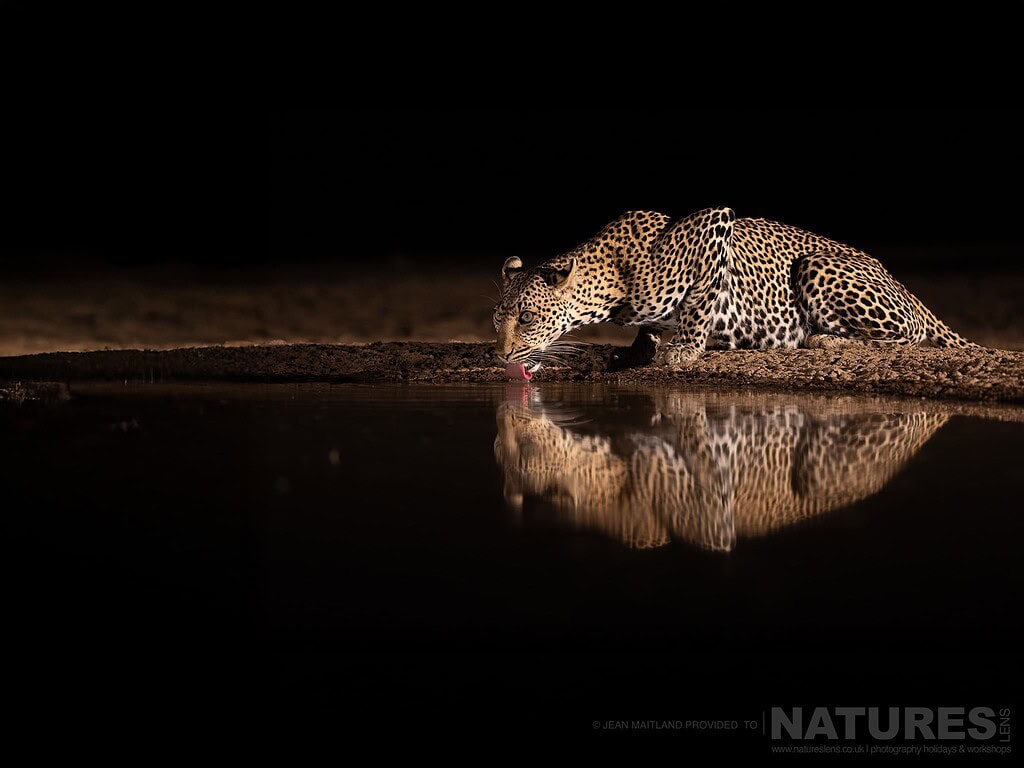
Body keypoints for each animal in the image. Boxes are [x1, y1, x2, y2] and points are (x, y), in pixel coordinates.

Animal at [493, 207, 974, 376]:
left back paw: (823, 340)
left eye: (528, 318)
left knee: (909, 335)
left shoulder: (714, 226)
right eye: (498, 320)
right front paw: (637, 350)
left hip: (816, 266)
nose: (500, 355)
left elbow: (698, 306)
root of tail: (899, 281)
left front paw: (684, 350)